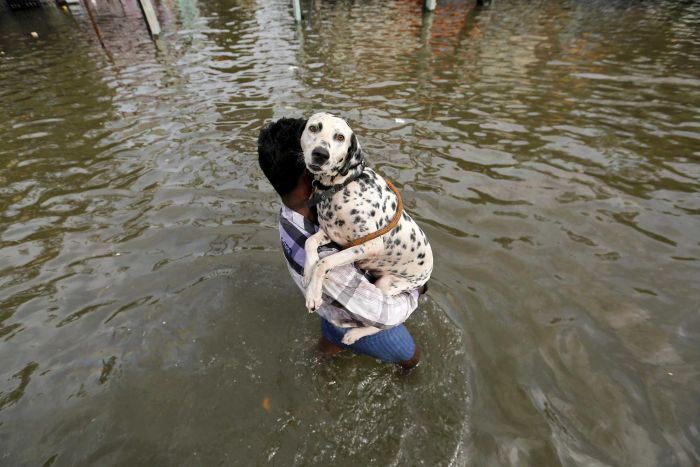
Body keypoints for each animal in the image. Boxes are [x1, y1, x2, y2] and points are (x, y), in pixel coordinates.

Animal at [300, 113, 432, 346]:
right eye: (314, 128)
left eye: (340, 137)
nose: (320, 154)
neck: (342, 186)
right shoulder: (330, 233)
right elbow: (309, 243)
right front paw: (308, 273)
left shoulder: (368, 245)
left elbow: (324, 262)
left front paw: (313, 295)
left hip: (387, 284)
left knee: (385, 323)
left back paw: (355, 334)